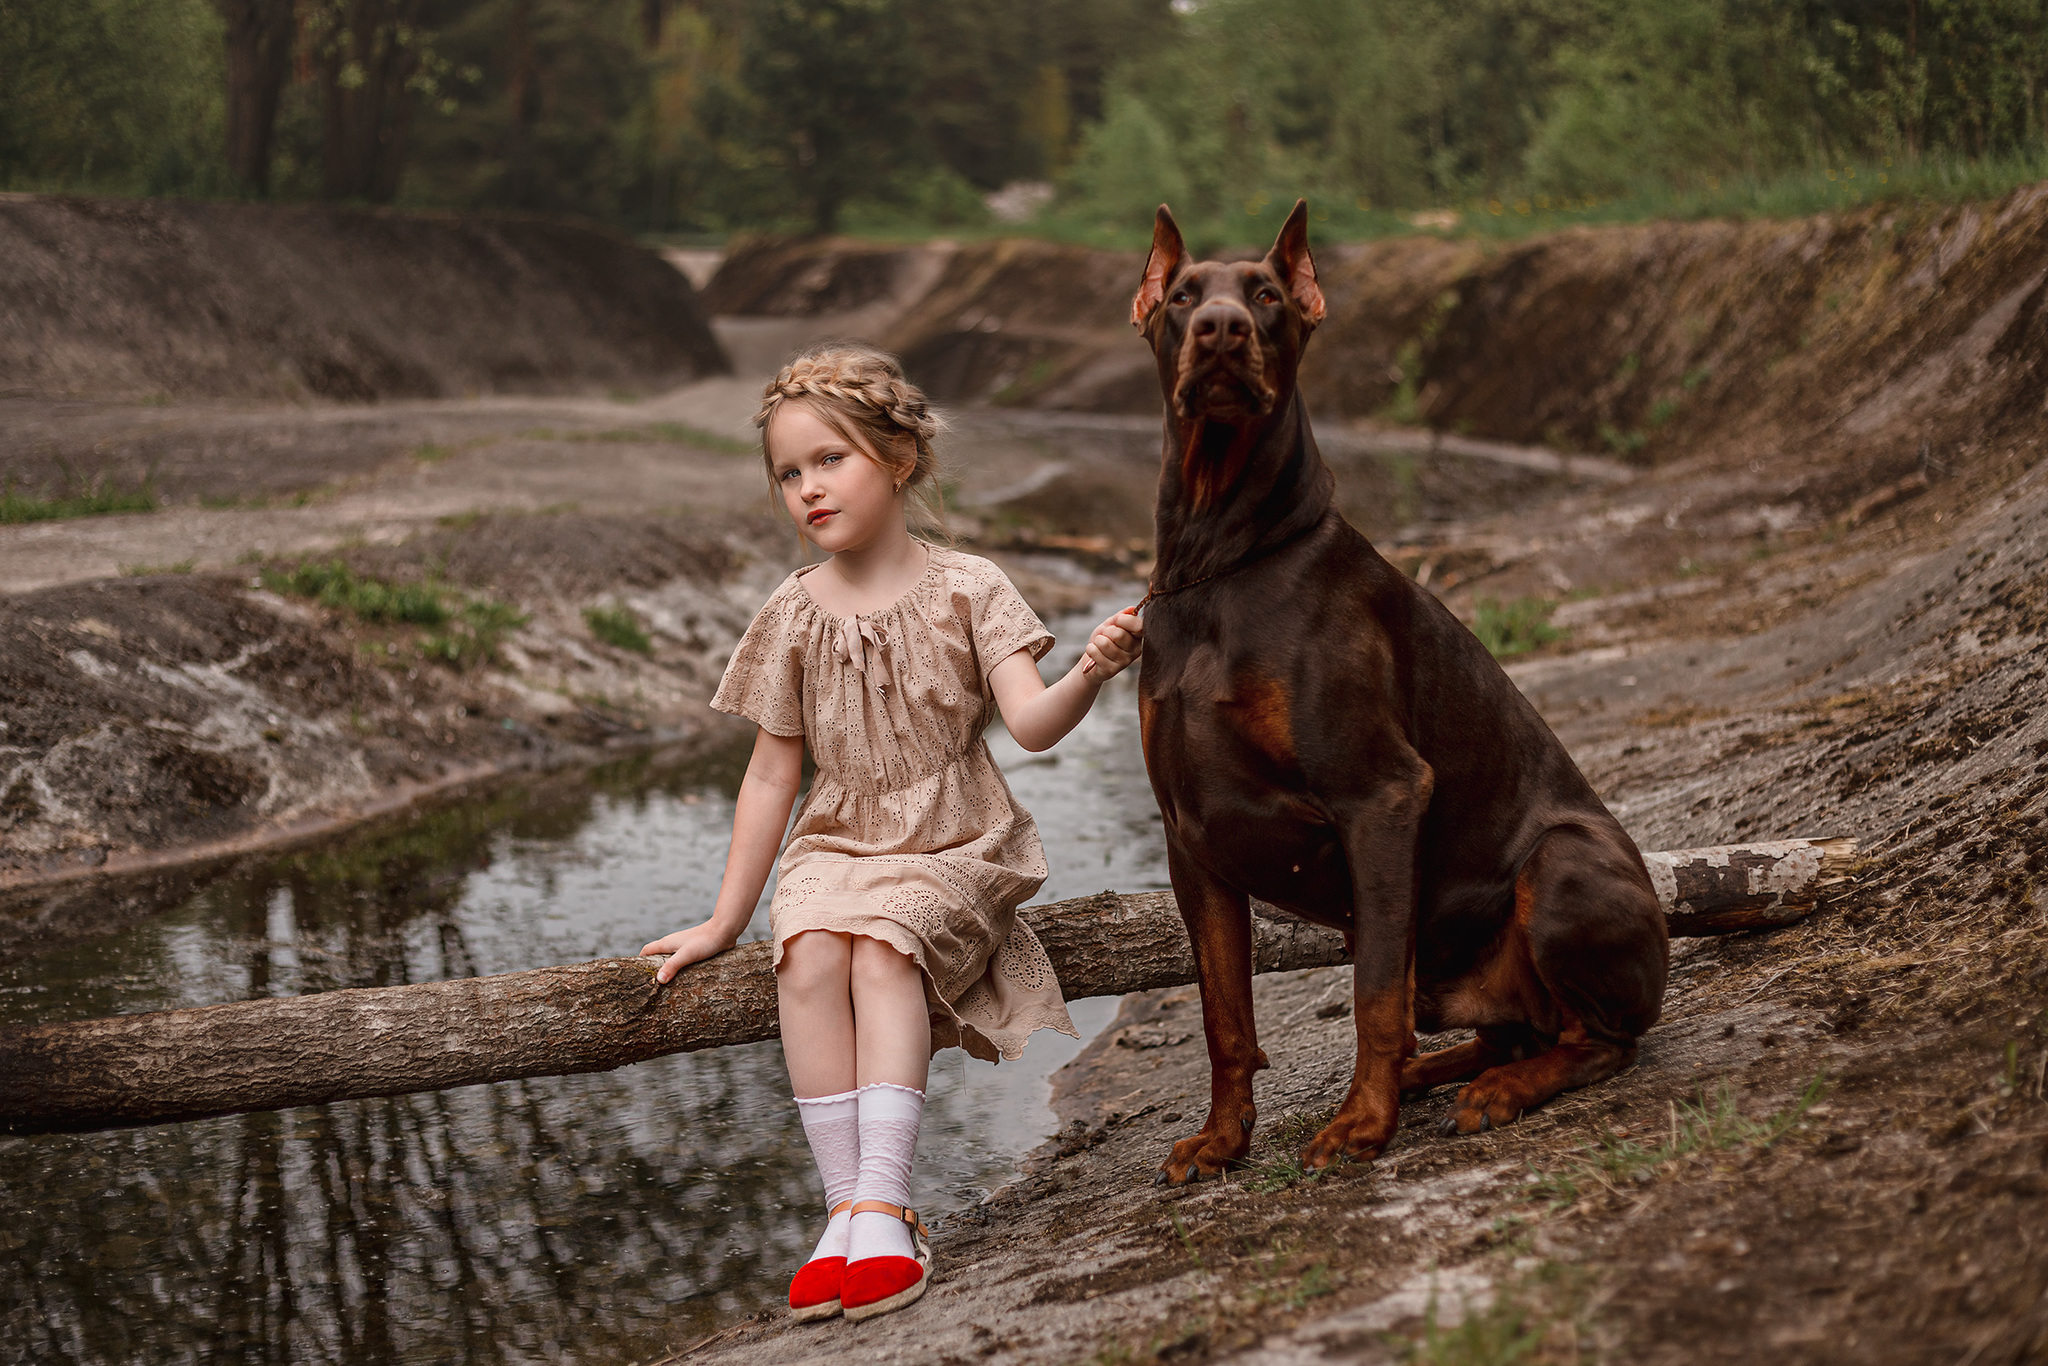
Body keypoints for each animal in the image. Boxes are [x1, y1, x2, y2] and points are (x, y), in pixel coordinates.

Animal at [1130, 197, 1671, 1179]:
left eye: (1266, 296)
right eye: (1184, 296)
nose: (1222, 329)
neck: (1220, 561)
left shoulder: (1378, 797)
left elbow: (1373, 995)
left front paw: (1360, 1126)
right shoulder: (1192, 838)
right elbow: (1225, 1016)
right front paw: (1224, 1140)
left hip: (1563, 866)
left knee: (1601, 1039)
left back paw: (1495, 1090)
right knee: (1503, 1031)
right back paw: (1443, 1073)